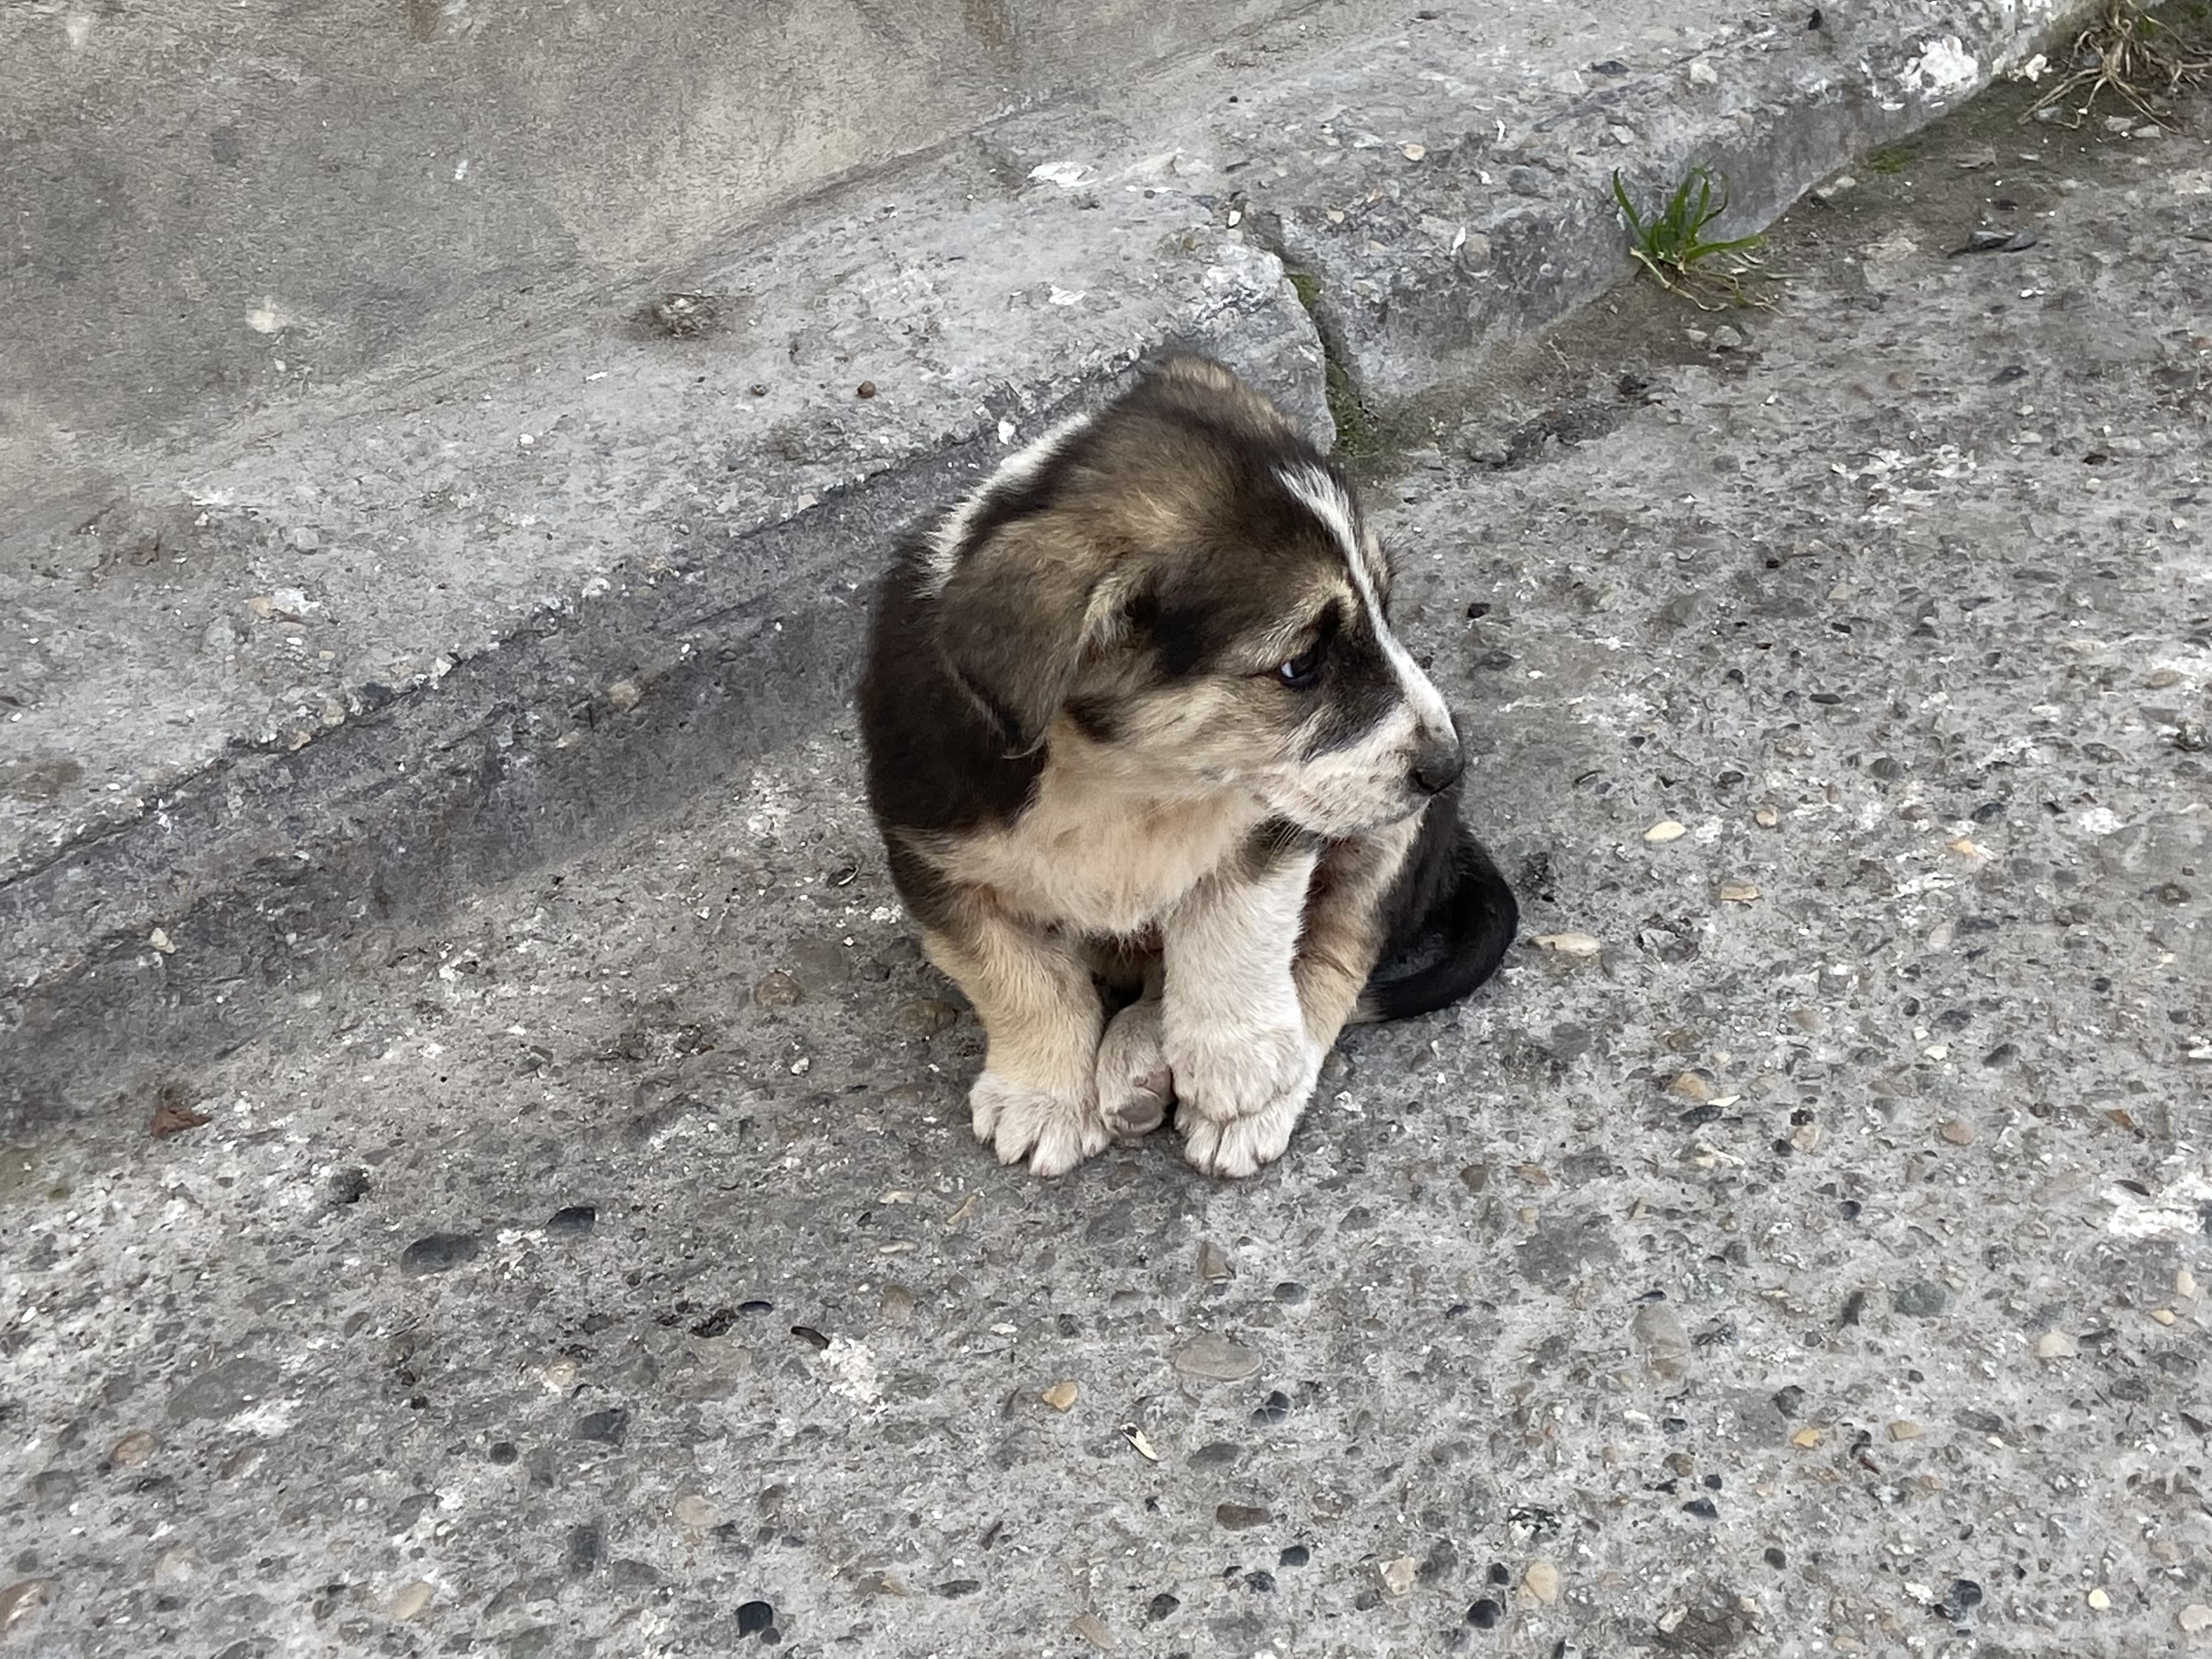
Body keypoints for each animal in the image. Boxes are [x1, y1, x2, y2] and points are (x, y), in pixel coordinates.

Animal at [858, 355, 1516, 1178]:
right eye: (1300, 666)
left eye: (1386, 610)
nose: (1450, 765)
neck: (1126, 776)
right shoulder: (940, 869)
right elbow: (1022, 984)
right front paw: (1042, 1098)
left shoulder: (1271, 831)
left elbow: (1233, 934)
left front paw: (1240, 1067)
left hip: (1388, 846)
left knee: (1332, 957)